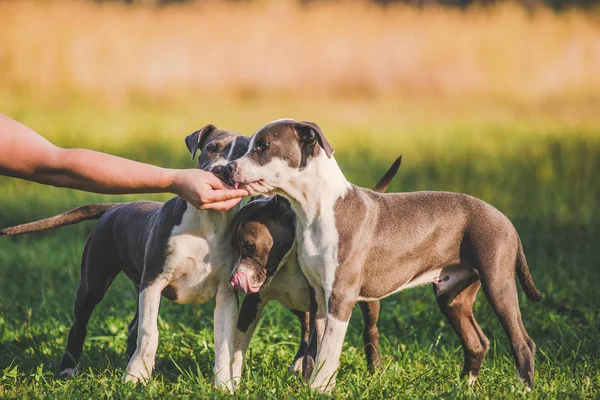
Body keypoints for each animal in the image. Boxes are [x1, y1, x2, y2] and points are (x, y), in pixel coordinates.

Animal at [226, 119, 544, 394]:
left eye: (263, 145)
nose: (228, 169)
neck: (317, 209)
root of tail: (504, 219)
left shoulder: (340, 296)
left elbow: (329, 348)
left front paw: (318, 389)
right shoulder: (319, 295)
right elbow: (319, 347)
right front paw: (317, 385)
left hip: (497, 283)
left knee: (522, 342)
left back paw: (524, 390)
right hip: (452, 295)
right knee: (477, 342)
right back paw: (462, 388)